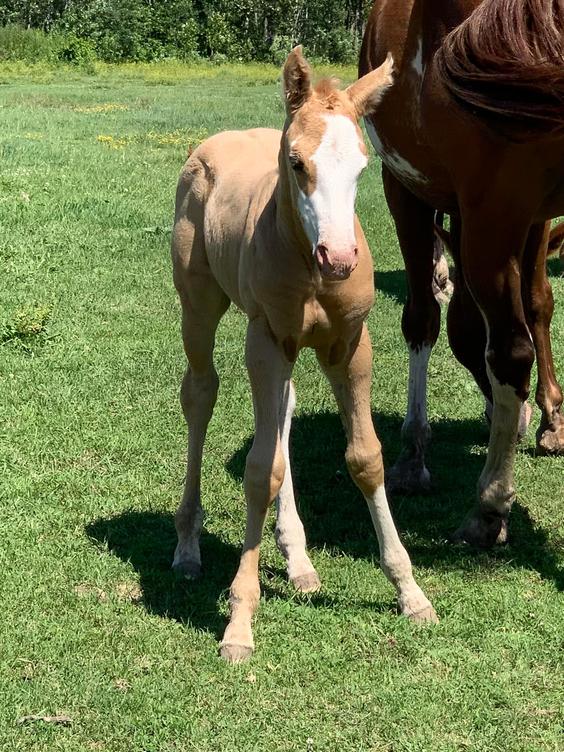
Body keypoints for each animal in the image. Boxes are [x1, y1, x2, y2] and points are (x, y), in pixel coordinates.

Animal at [170, 48, 437, 662]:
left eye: (362, 166)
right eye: (296, 163)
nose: (338, 257)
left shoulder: (350, 345)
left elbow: (365, 458)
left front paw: (410, 592)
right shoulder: (266, 341)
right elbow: (258, 469)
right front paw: (239, 622)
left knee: (282, 412)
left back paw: (298, 560)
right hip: (199, 305)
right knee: (200, 394)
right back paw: (188, 546)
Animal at [358, 0, 564, 548]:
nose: (518, 420)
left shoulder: (405, 187)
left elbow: (427, 319)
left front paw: (414, 455)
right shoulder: (525, 214)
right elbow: (534, 305)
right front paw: (545, 416)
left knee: (515, 342)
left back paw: (491, 501)